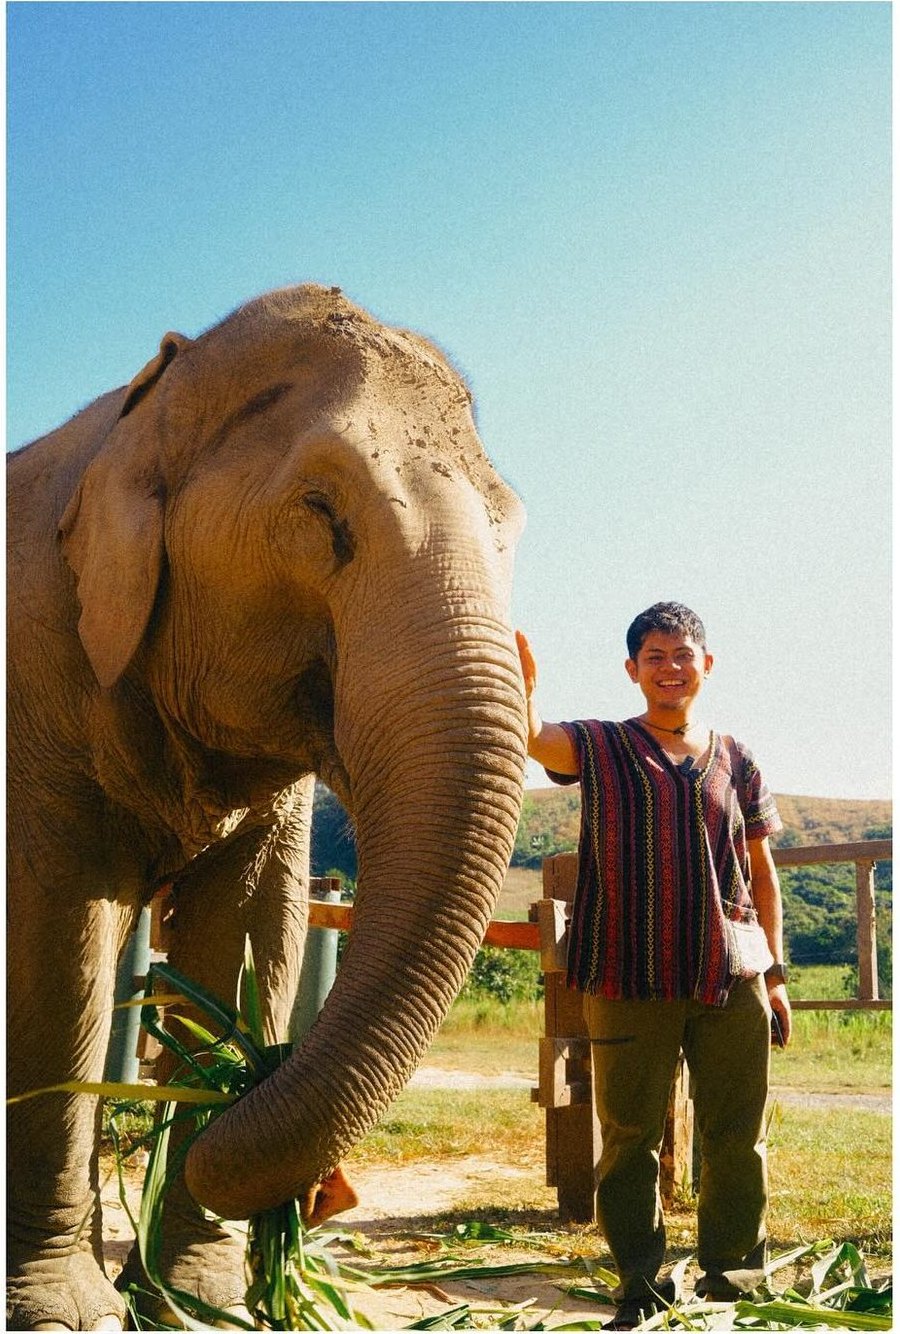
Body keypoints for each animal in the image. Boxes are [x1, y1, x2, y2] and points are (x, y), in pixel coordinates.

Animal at [7, 283, 528, 1330]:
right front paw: (69, 1311)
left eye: (513, 527)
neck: (127, 411)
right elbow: (60, 953)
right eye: (321, 511)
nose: (328, 1198)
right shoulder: (34, 684)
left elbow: (250, 931)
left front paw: (199, 1304)